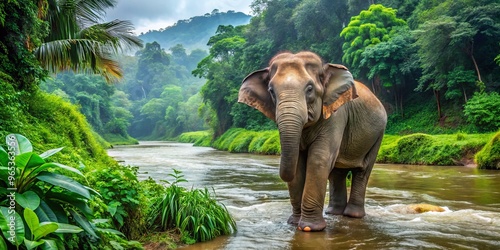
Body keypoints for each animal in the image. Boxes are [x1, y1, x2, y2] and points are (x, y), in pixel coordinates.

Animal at [238, 51, 386, 232]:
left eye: (309, 89)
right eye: (271, 91)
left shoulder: (336, 114)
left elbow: (318, 160)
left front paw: (309, 228)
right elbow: (298, 162)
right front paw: (294, 223)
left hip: (378, 135)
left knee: (362, 171)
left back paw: (352, 215)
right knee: (337, 173)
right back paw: (333, 213)